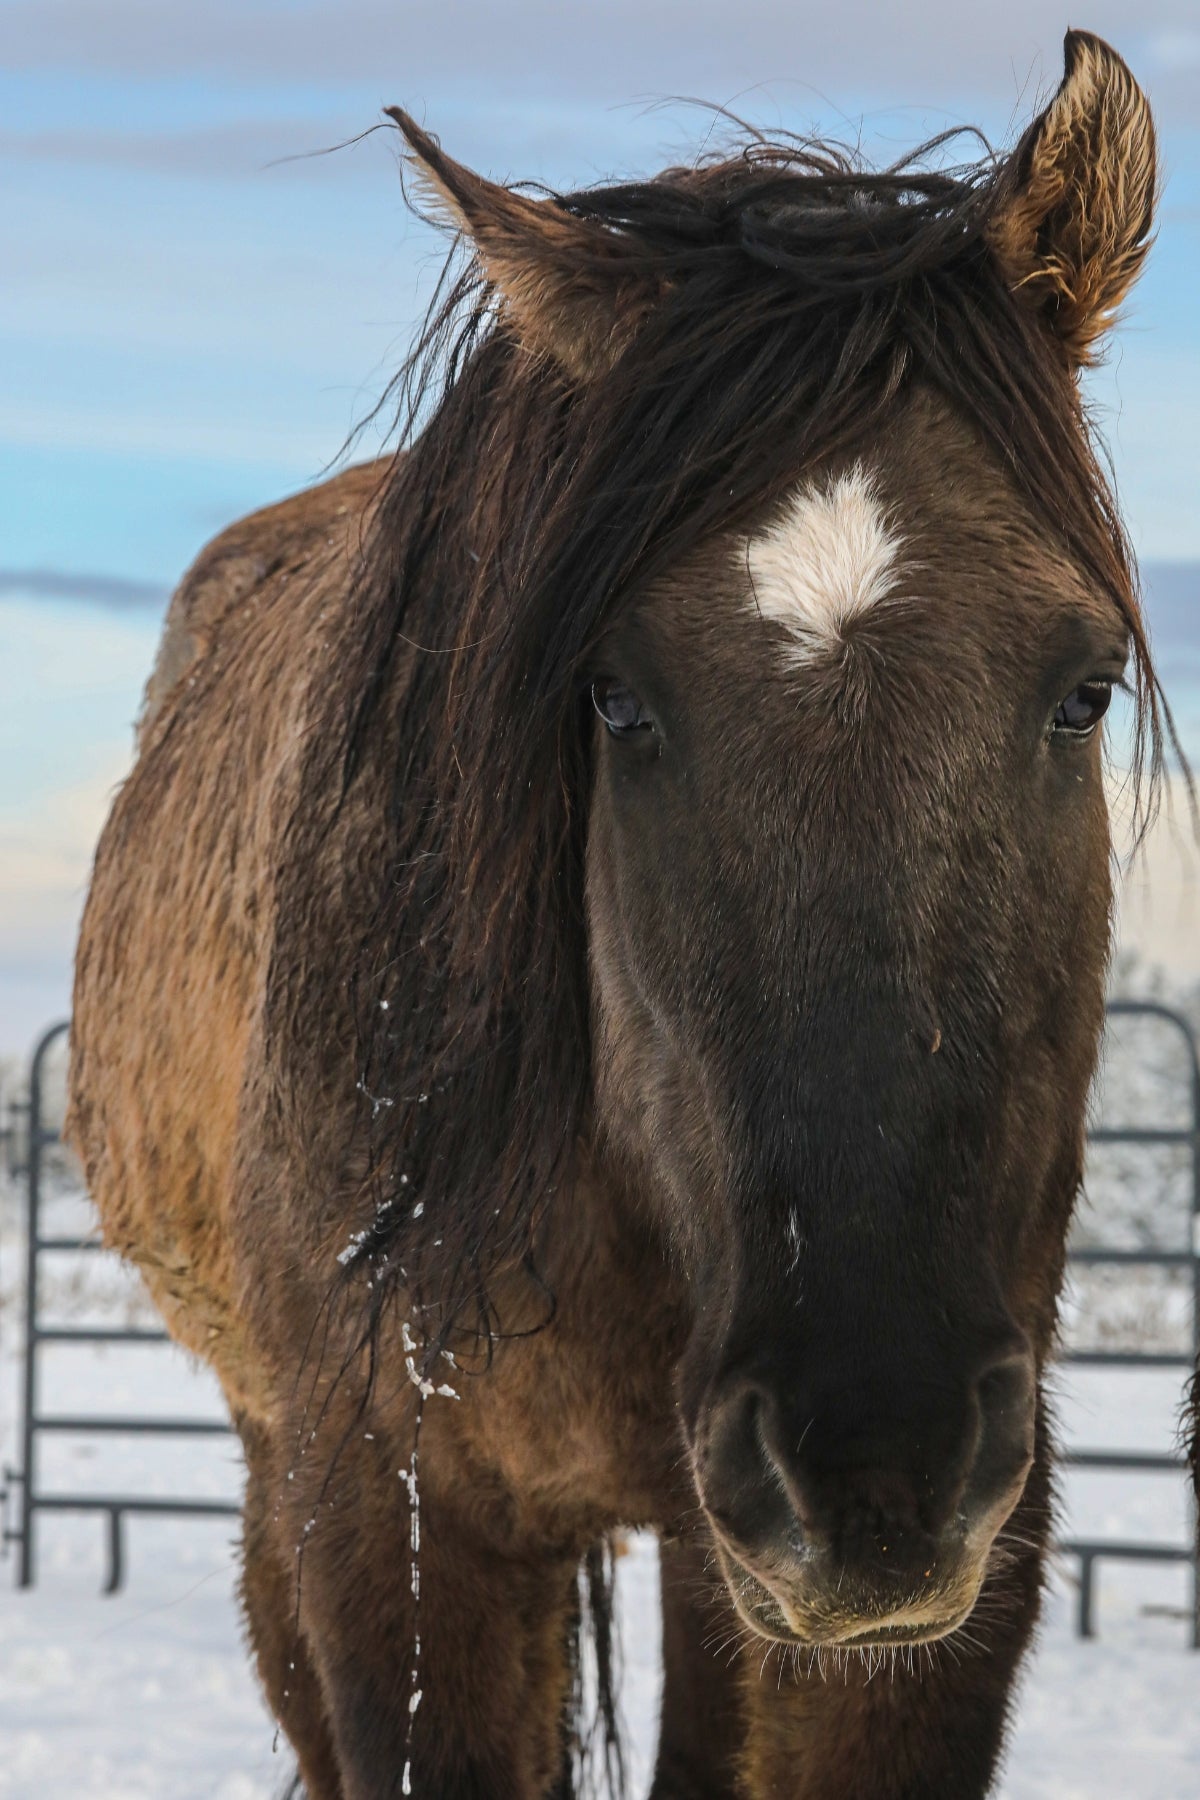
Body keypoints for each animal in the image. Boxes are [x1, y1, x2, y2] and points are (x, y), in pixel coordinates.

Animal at [65, 28, 1173, 1800]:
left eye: (1083, 689)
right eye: (616, 700)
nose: (876, 1464)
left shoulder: (948, 1581)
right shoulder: (399, 1525)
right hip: (280, 1471)